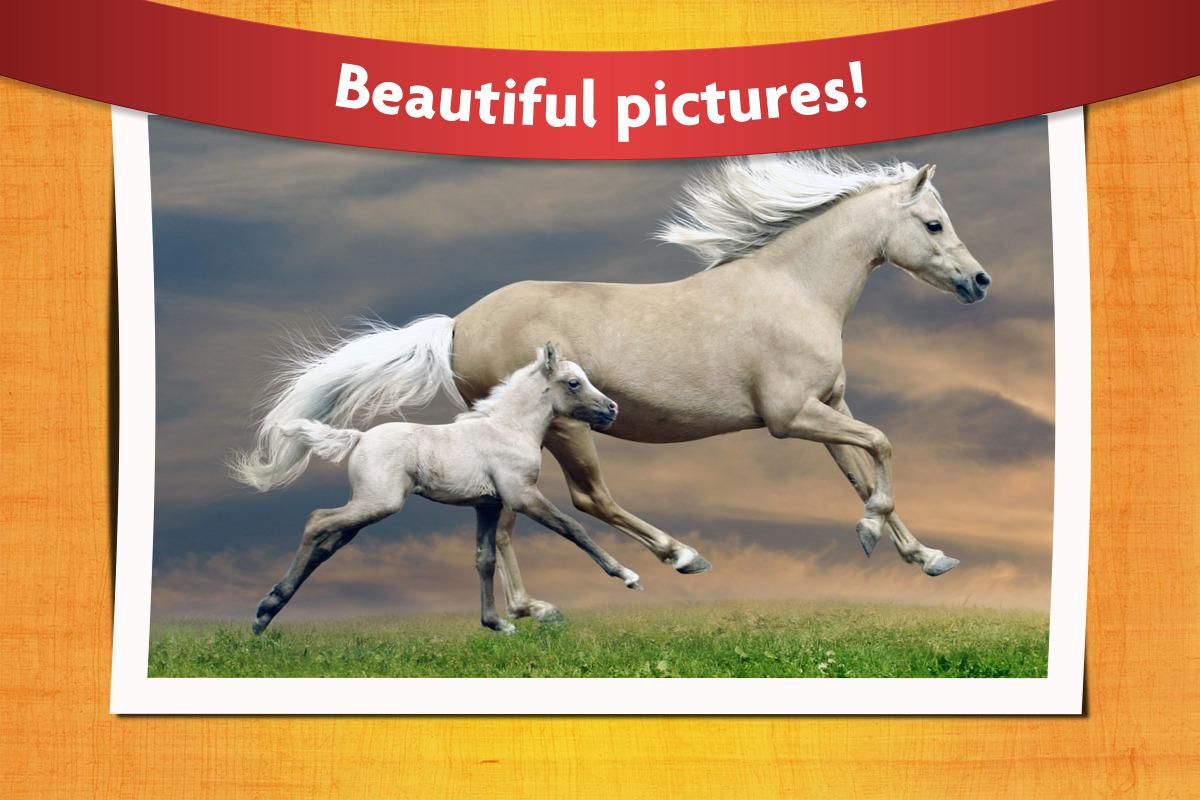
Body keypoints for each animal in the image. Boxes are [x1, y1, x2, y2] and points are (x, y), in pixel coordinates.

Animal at [250, 344, 641, 635]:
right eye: (573, 382)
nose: (612, 409)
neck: (509, 429)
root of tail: (359, 437)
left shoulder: (488, 505)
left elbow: (484, 560)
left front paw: (496, 623)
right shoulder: (521, 496)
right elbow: (572, 528)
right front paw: (628, 576)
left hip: (366, 508)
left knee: (326, 543)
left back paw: (266, 614)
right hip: (378, 503)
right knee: (317, 520)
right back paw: (266, 608)